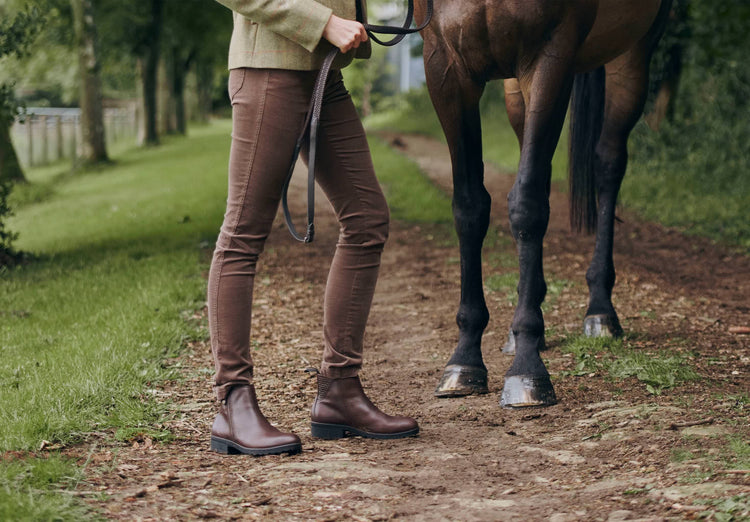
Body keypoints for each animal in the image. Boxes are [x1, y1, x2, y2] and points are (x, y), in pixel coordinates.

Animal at [418, 0, 676, 406]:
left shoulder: (550, 56)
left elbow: (527, 205)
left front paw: (527, 368)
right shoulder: (444, 66)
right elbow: (470, 207)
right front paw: (464, 360)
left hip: (633, 54)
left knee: (607, 163)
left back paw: (600, 311)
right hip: (514, 87)